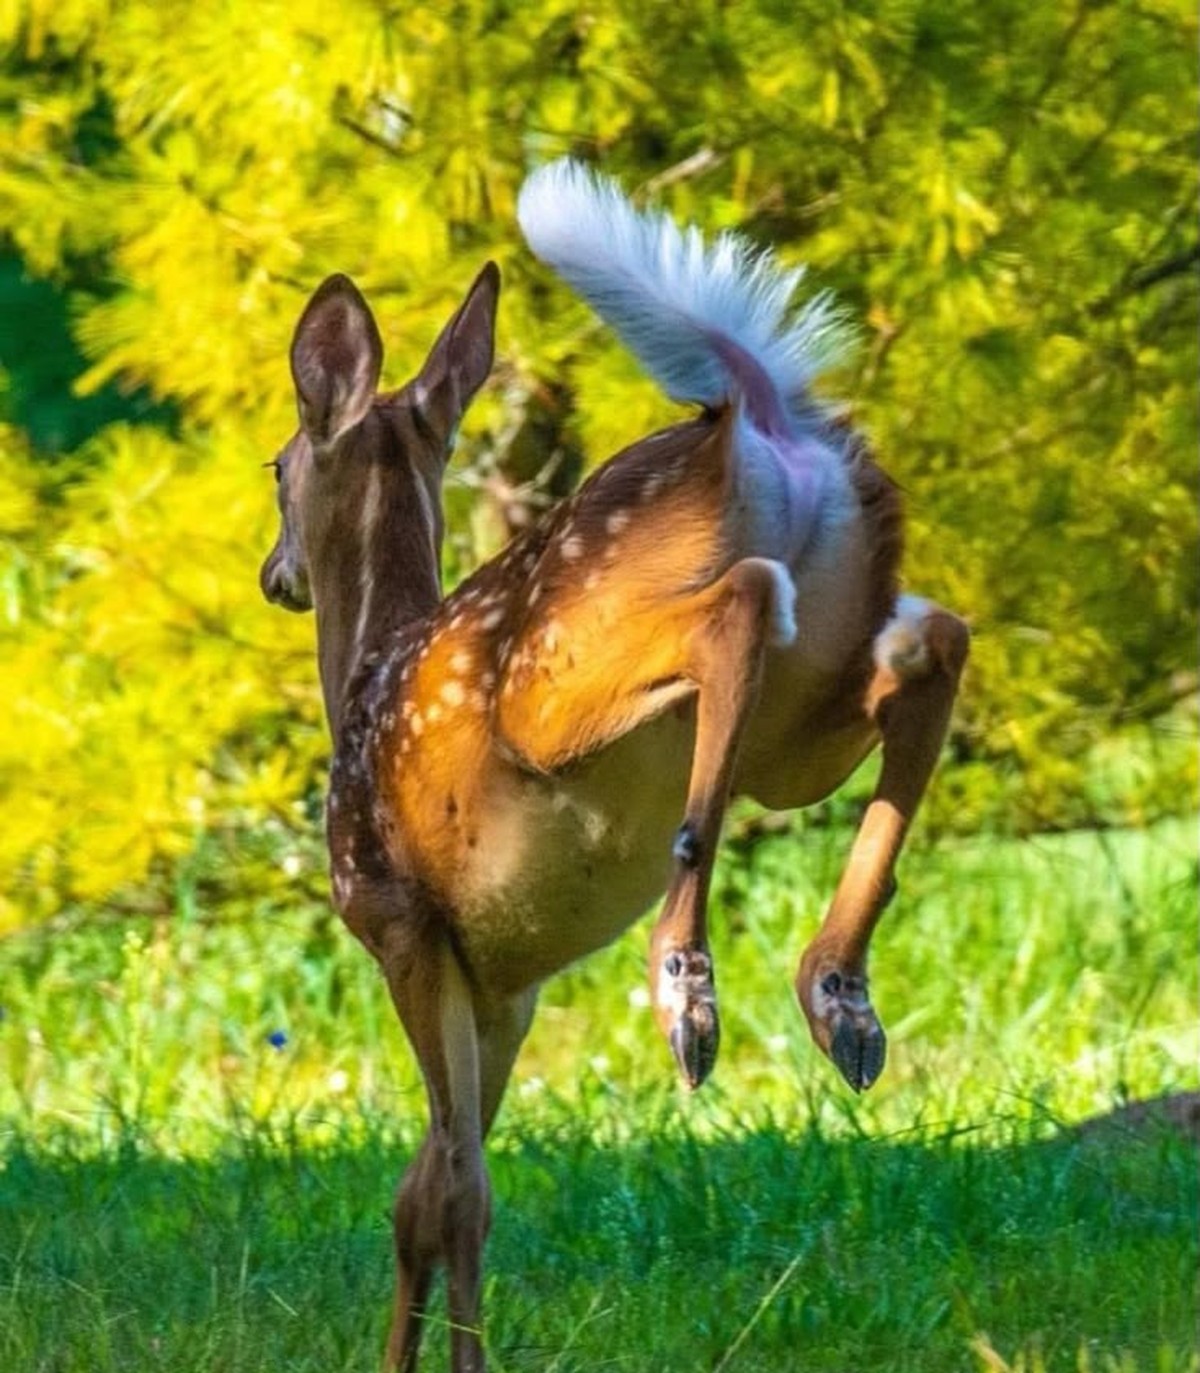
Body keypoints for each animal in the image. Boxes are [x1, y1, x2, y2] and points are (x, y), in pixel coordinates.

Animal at [259, 159, 968, 1373]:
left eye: (274, 469)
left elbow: (452, 1190)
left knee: (741, 607)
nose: (276, 573)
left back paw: (686, 982)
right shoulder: (507, 982)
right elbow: (430, 1188)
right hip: (803, 719)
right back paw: (837, 997)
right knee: (928, 643)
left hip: (563, 679)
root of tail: (753, 414)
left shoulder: (404, 925)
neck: (361, 678)